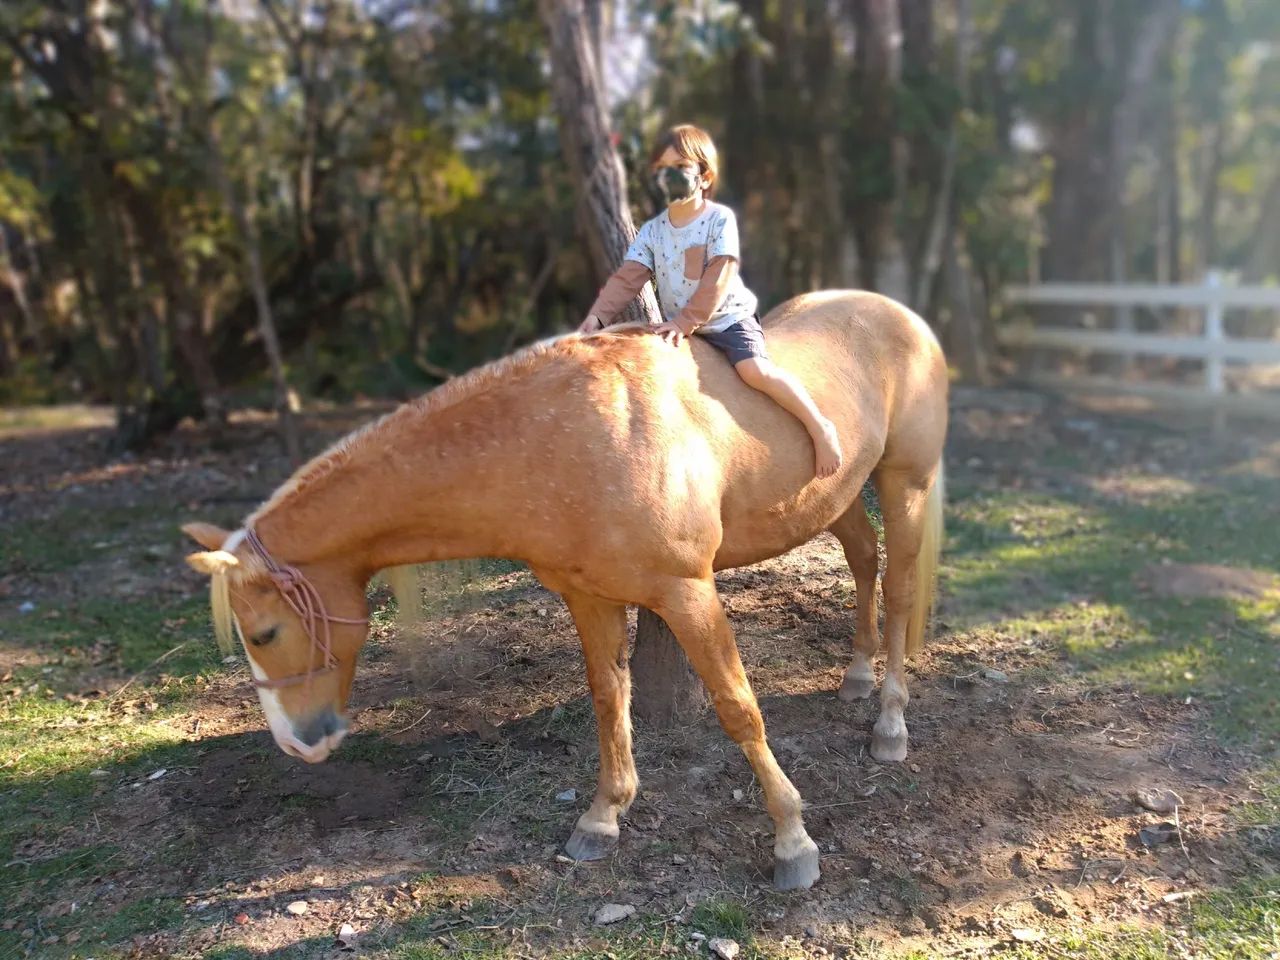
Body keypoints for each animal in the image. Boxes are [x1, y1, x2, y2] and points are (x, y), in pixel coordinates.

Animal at [182, 290, 947, 891]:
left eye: (264, 632)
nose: (297, 745)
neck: (561, 439)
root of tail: (903, 316)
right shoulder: (589, 598)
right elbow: (609, 700)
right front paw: (604, 817)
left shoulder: (688, 593)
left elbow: (739, 709)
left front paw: (792, 840)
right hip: (837, 496)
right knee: (863, 562)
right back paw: (855, 675)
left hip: (904, 484)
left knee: (900, 591)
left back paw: (889, 723)